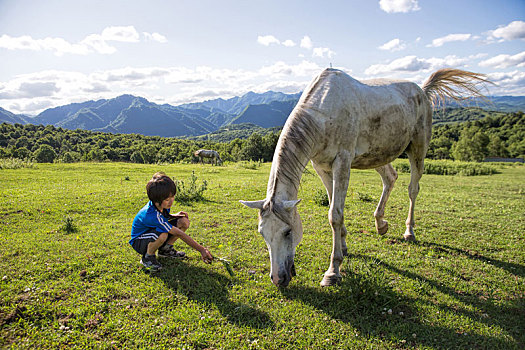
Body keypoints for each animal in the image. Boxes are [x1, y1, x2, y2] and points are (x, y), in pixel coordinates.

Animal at [241, 67, 488, 288]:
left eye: (288, 231)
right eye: (262, 233)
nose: (278, 279)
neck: (323, 114)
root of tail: (423, 91)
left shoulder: (342, 162)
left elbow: (335, 214)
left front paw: (333, 271)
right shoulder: (322, 167)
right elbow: (333, 206)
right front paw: (343, 245)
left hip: (418, 148)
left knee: (413, 189)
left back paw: (409, 231)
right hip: (378, 155)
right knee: (390, 178)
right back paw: (380, 224)